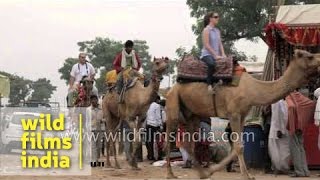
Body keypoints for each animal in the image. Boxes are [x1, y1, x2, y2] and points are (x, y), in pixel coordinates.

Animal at [165, 49, 320, 180]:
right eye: (309, 56)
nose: (319, 58)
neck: (252, 89)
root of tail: (173, 87)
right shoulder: (233, 114)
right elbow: (238, 146)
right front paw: (245, 175)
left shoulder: (242, 115)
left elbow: (239, 145)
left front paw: (217, 171)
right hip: (173, 102)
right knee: (170, 138)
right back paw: (171, 174)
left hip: (192, 114)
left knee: (190, 142)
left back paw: (201, 172)